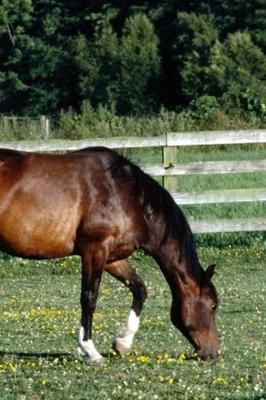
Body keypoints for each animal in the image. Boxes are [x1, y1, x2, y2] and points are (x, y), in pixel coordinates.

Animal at [0, 146, 218, 362]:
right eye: (213, 305)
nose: (213, 353)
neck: (123, 194)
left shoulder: (112, 257)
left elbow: (139, 288)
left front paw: (122, 343)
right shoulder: (95, 250)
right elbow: (89, 297)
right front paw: (90, 350)